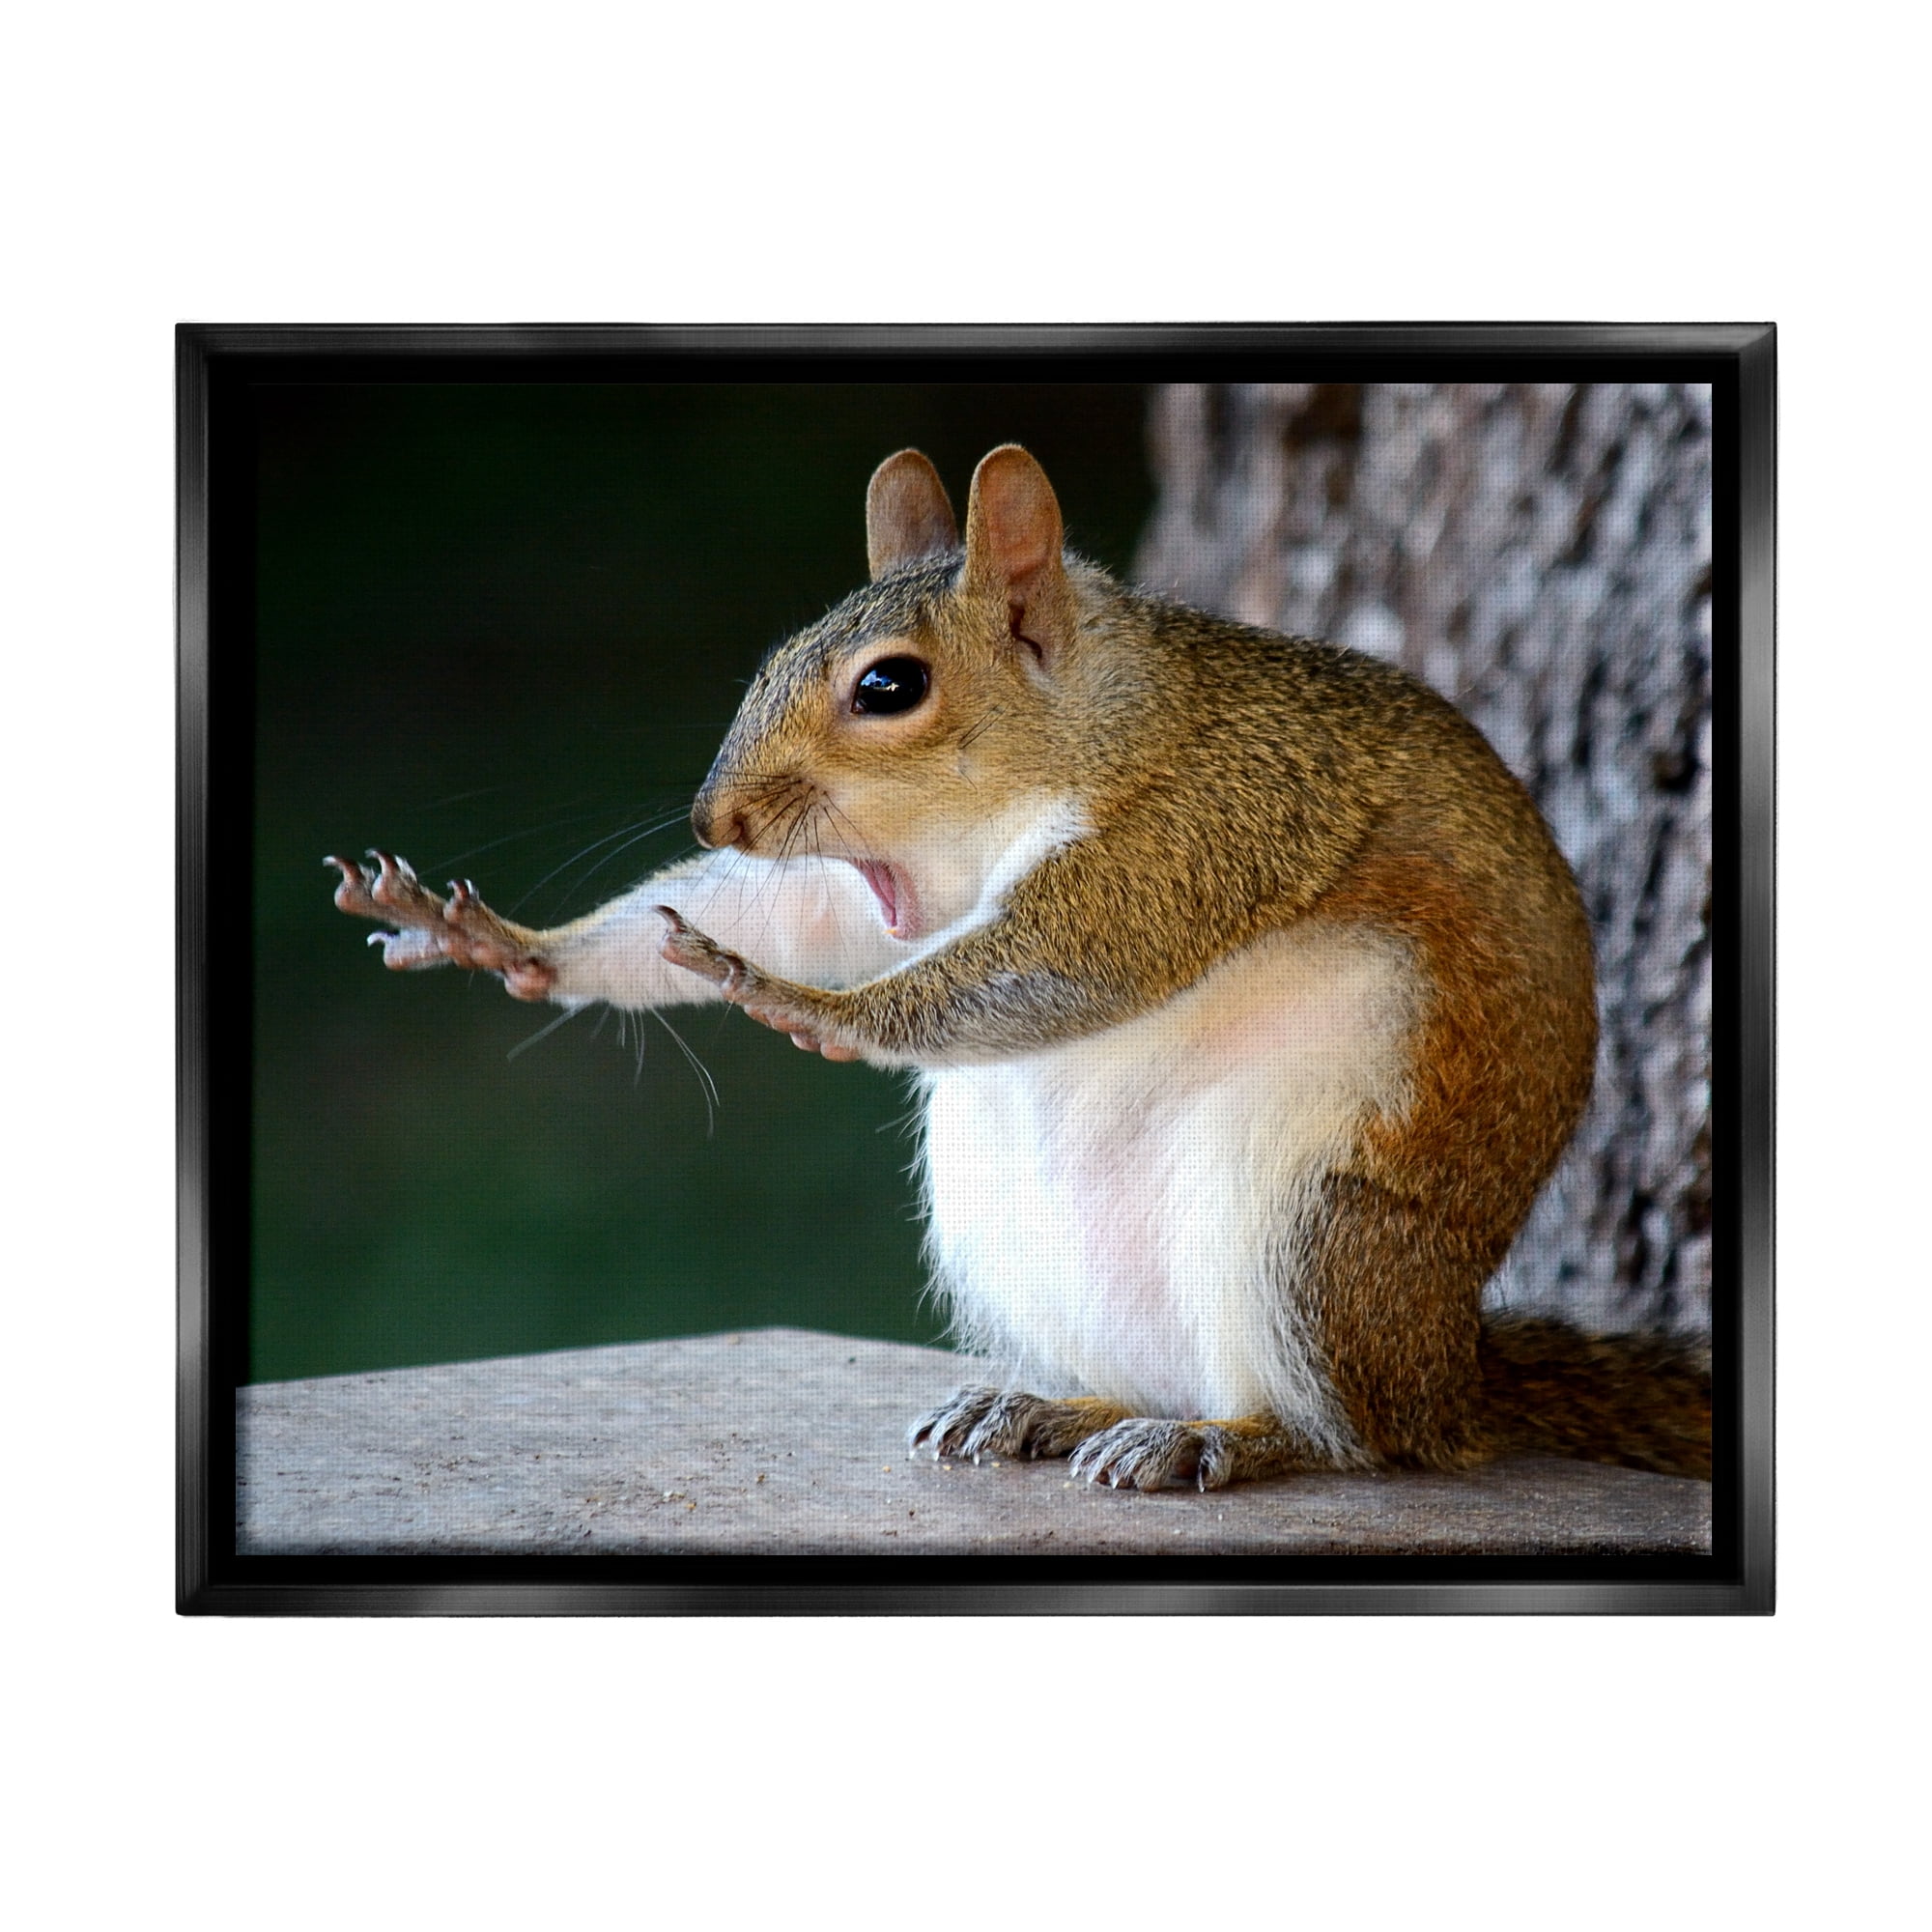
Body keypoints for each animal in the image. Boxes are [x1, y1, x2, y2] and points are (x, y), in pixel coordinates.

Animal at [330, 443, 1712, 1490]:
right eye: (775, 654)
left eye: (890, 685)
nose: (715, 817)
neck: (1086, 732)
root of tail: (1447, 1376)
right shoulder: (874, 886)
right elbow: (795, 913)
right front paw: (504, 941)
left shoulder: (1207, 822)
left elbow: (1060, 962)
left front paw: (805, 1004)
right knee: (1147, 1374)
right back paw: (1051, 1408)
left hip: (1308, 1231)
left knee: (1349, 1435)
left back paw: (1217, 1438)